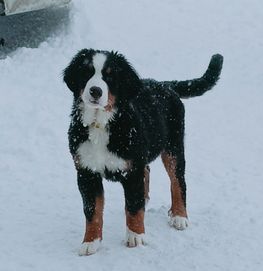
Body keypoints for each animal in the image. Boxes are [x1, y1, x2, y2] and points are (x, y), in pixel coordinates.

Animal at [63, 49, 224, 258]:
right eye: (86, 72)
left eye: (110, 76)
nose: (95, 91)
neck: (101, 124)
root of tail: (164, 84)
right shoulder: (86, 172)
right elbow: (92, 210)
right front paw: (91, 242)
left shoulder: (132, 171)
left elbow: (132, 206)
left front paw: (135, 237)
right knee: (147, 172)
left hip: (173, 147)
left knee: (177, 181)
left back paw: (179, 215)